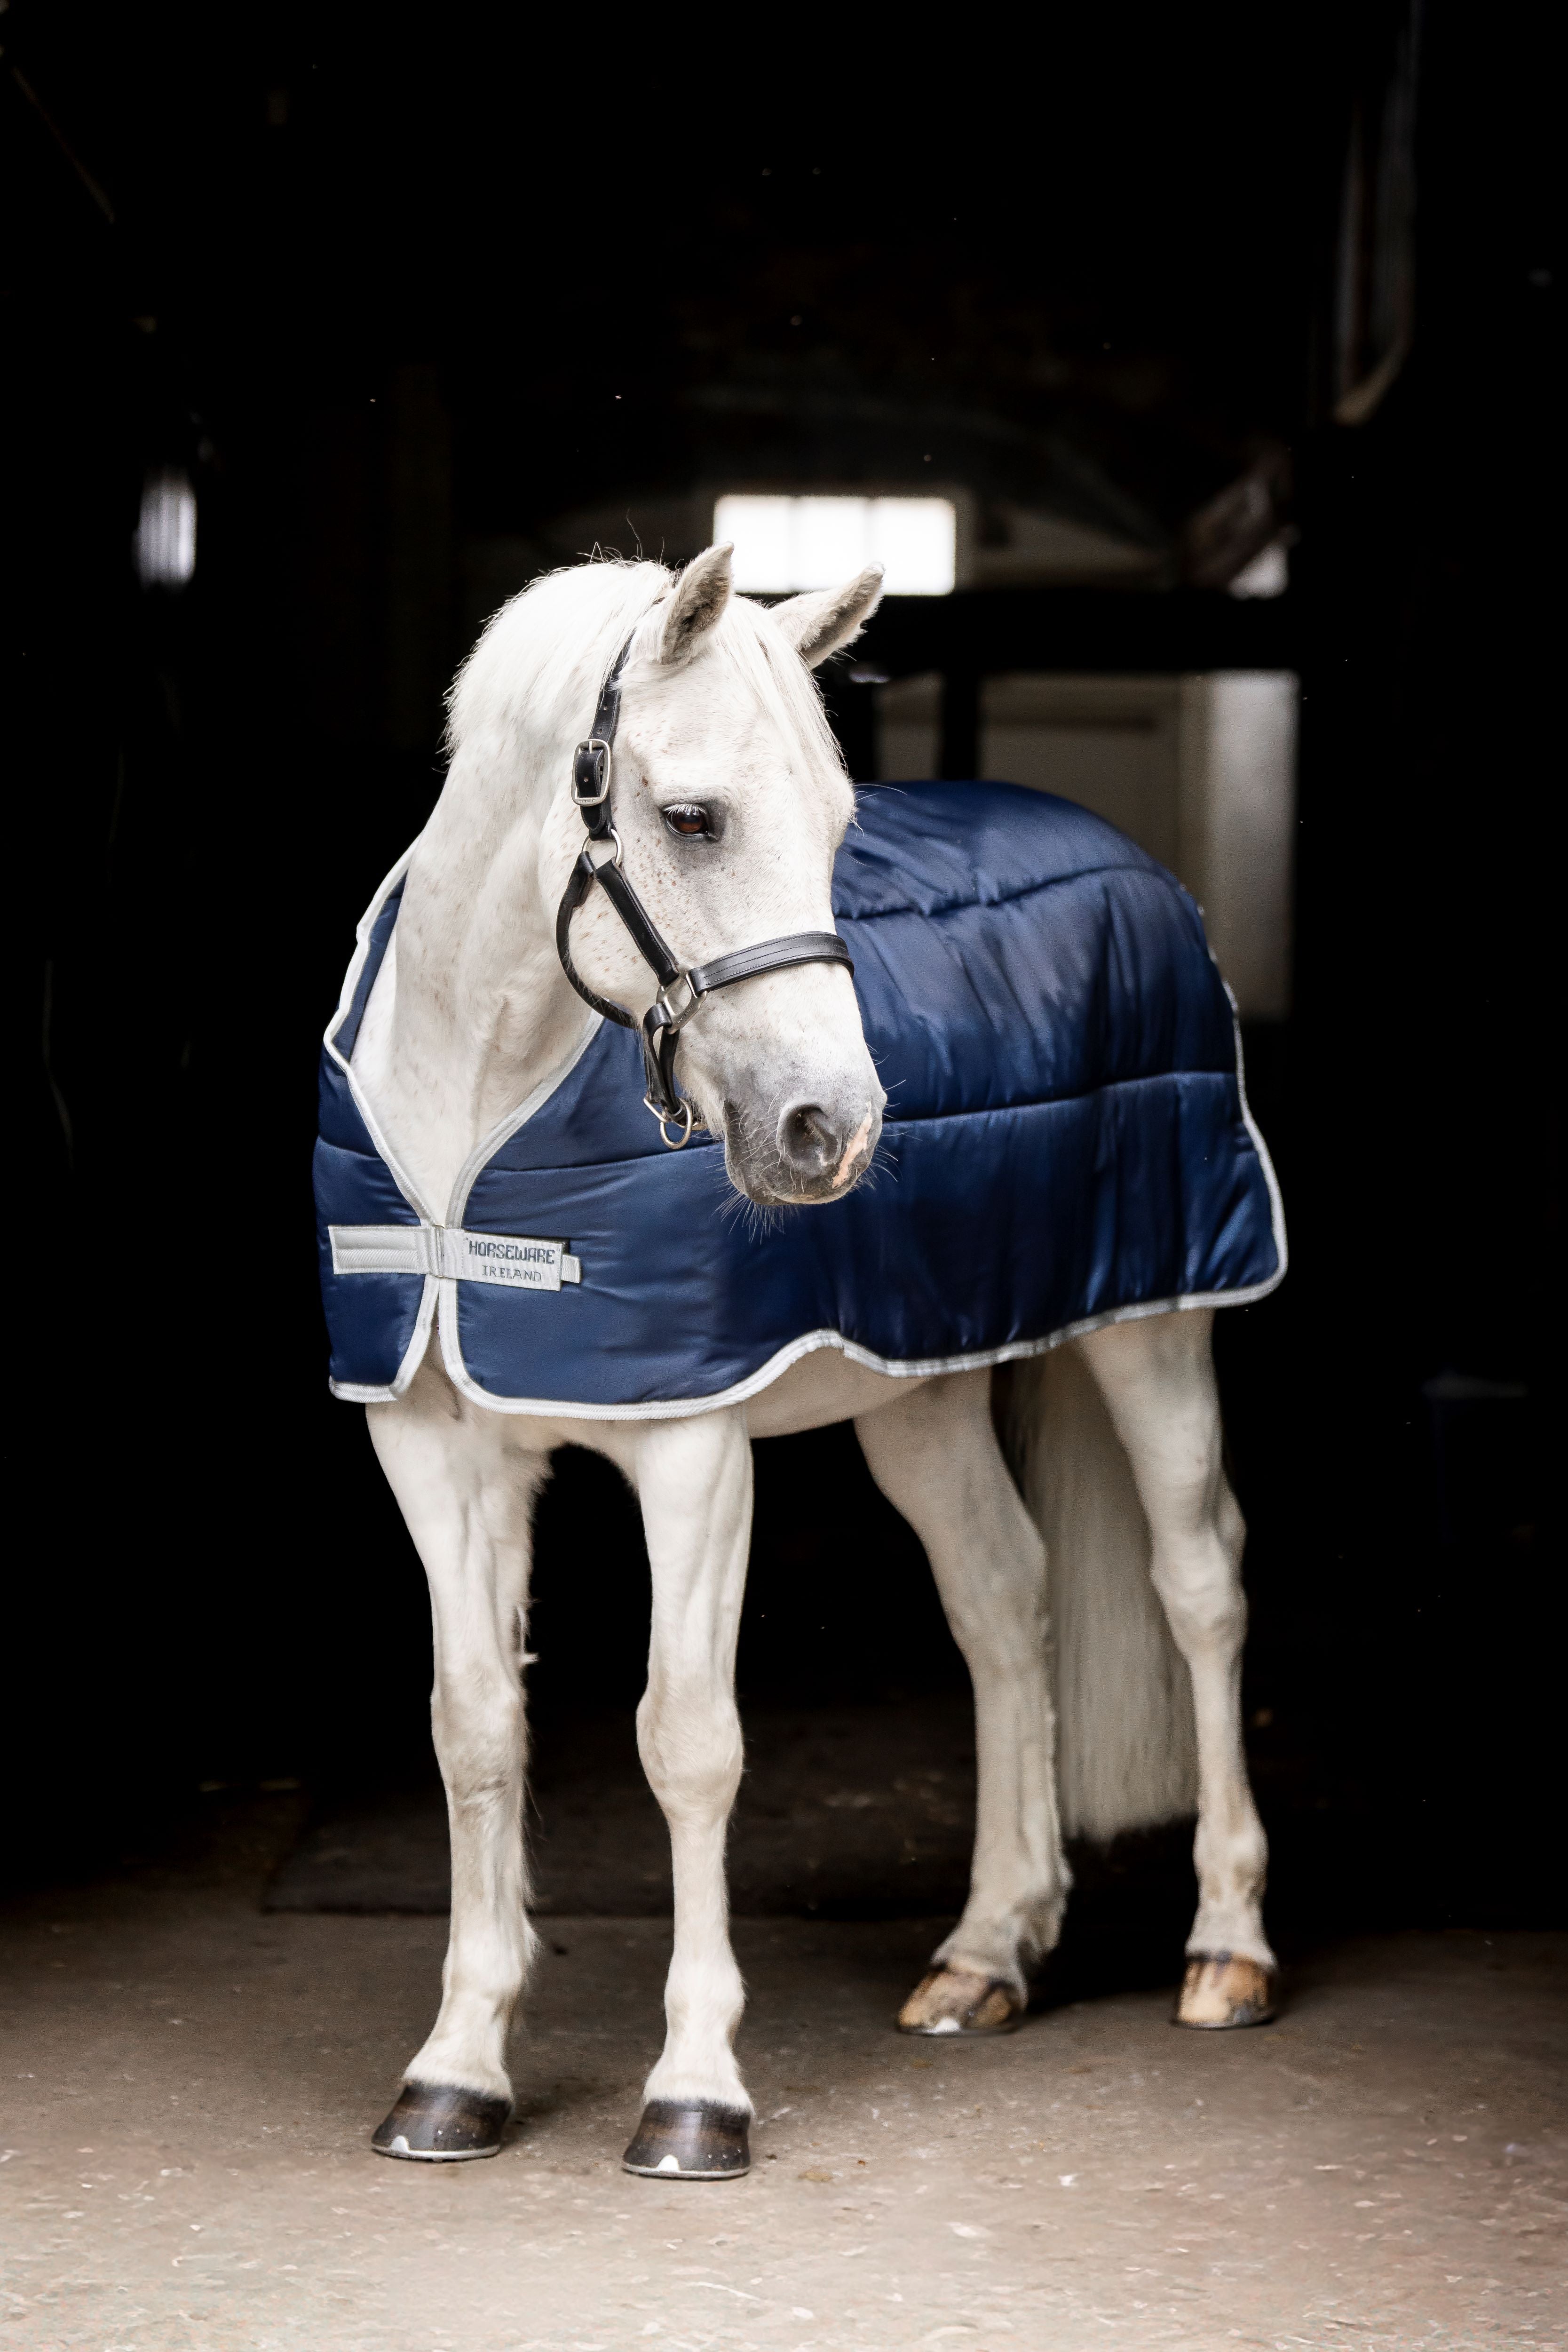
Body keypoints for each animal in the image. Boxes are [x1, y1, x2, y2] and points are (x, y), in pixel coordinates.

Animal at [314, 545, 1283, 2181]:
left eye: (838, 825)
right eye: (695, 817)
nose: (834, 1129)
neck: (479, 1107)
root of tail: (1119, 857)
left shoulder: (691, 1449)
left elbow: (687, 1740)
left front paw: (694, 2093)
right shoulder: (433, 1443)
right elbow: (474, 1725)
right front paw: (455, 2071)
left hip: (1152, 1325)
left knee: (1198, 1581)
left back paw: (1225, 1949)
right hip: (920, 1394)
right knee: (1001, 1599)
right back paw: (985, 1954)